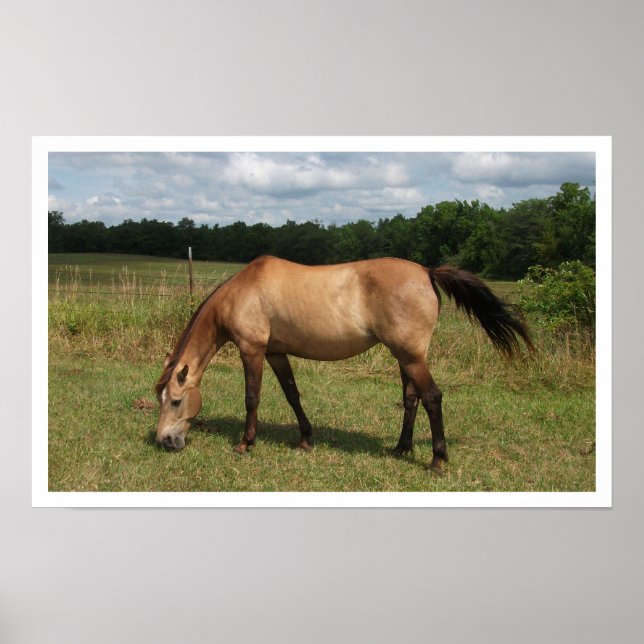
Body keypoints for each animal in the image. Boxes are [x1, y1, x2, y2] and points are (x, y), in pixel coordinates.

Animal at [155, 255, 533, 473]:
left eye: (176, 401)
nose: (165, 441)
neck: (242, 291)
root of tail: (427, 272)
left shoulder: (252, 351)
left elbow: (252, 399)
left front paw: (246, 444)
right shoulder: (276, 353)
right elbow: (292, 395)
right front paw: (305, 439)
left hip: (412, 357)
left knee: (431, 398)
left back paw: (437, 461)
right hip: (404, 357)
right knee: (411, 399)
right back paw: (401, 449)